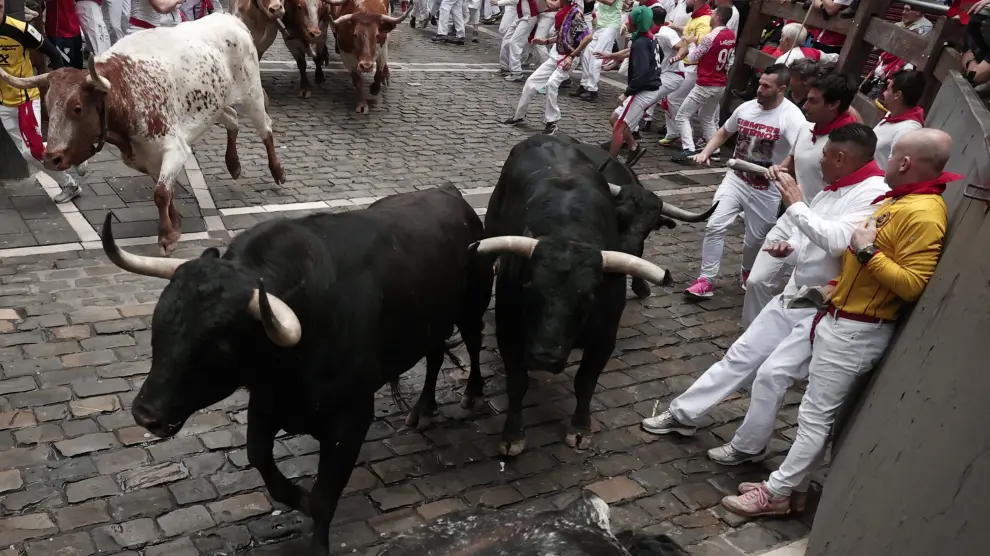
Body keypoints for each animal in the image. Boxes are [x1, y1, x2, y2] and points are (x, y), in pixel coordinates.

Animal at [101, 185, 496, 552]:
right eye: (158, 327)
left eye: (218, 346)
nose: (145, 414)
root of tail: (448, 193)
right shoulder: (265, 402)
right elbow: (260, 458)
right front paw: (296, 498)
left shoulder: (351, 416)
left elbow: (323, 497)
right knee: (435, 356)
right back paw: (424, 409)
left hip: (472, 305)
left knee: (473, 343)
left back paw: (473, 396)